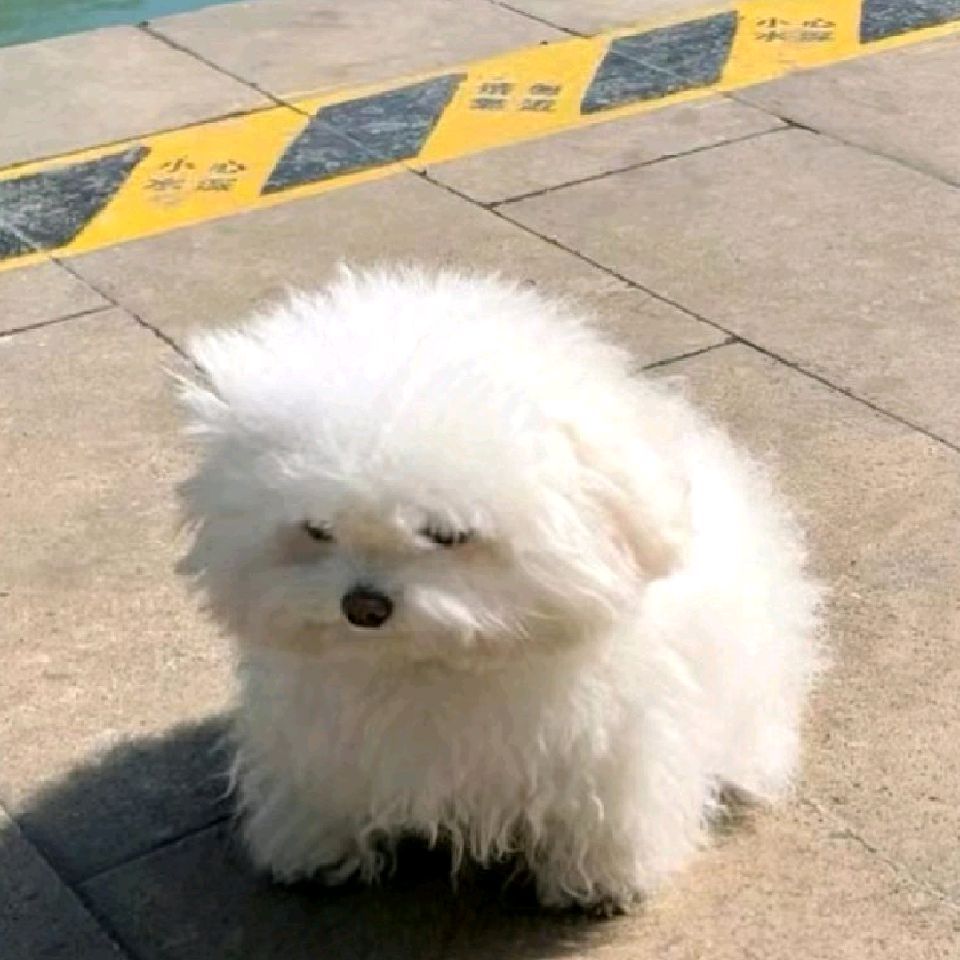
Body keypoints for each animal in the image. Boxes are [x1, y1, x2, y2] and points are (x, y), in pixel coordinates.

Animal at [176, 264, 821, 910]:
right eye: (318, 529)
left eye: (445, 534)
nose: (363, 606)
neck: (431, 666)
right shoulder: (317, 736)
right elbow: (322, 788)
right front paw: (314, 847)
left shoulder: (616, 744)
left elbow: (605, 811)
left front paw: (600, 879)